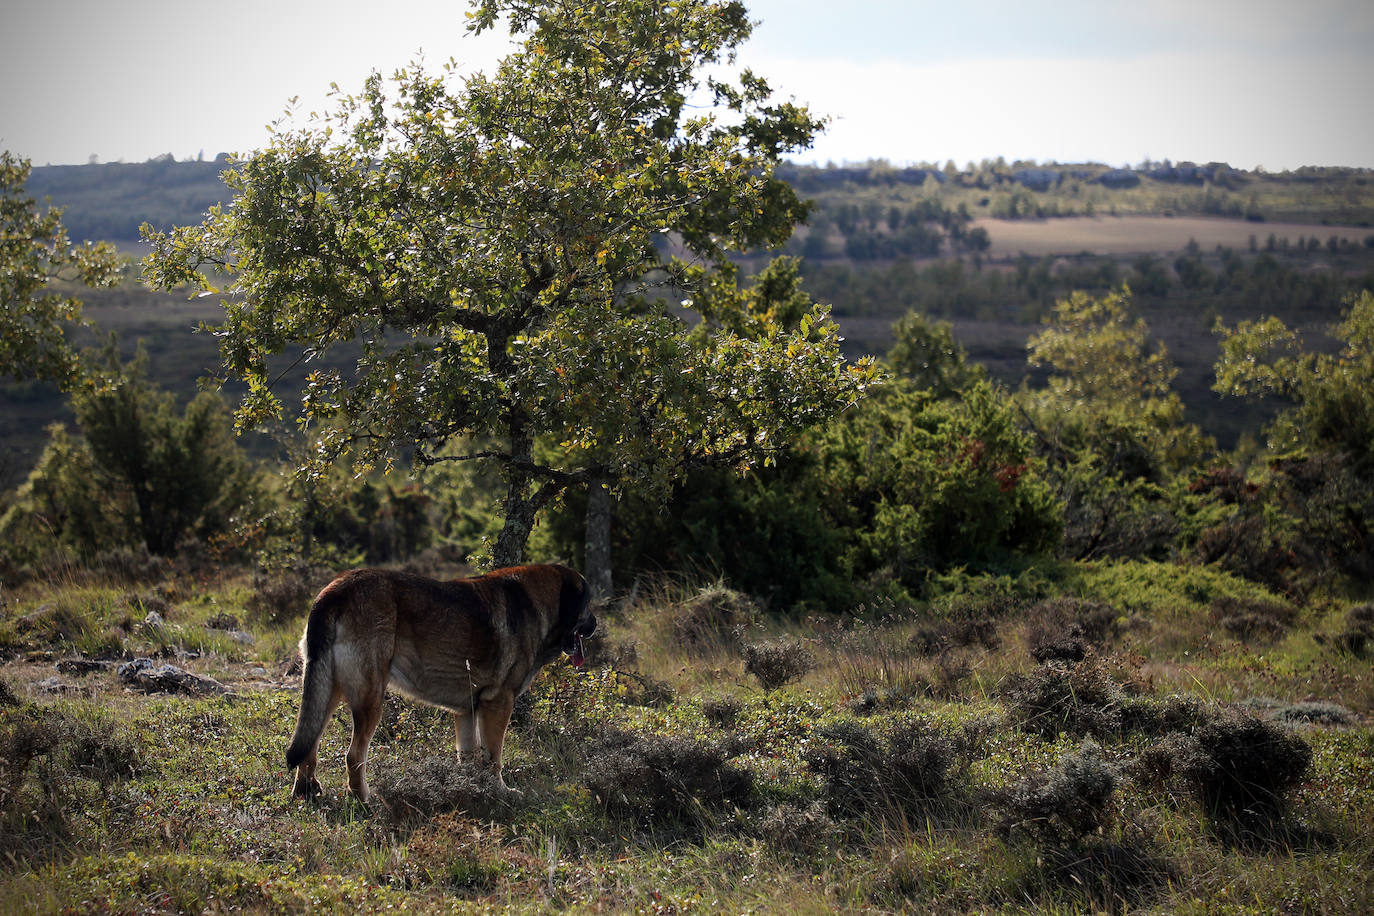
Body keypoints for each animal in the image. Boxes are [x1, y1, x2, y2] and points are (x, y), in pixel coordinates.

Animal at [287, 563, 593, 796]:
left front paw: (474, 790)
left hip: (328, 690)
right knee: (354, 756)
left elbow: (469, 756)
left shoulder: (468, 711)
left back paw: (307, 791)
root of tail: (335, 591)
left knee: (310, 743)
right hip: (370, 699)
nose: (595, 625)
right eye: (588, 604)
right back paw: (364, 799)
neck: (538, 601)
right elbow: (493, 758)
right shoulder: (498, 704)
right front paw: (501, 791)